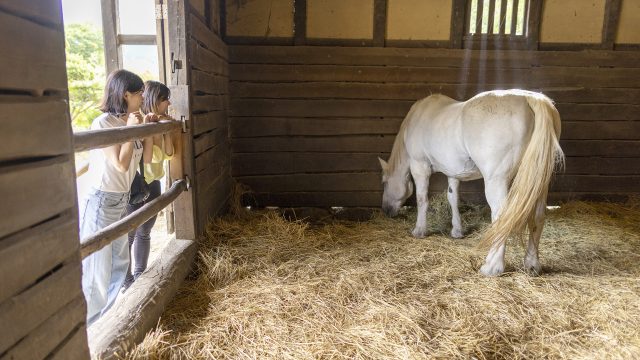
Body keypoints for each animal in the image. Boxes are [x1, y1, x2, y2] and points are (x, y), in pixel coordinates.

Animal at [378, 90, 564, 276]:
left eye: (384, 182)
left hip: (497, 181)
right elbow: (453, 199)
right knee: (538, 216)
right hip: (538, 183)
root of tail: (530, 98)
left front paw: (419, 230)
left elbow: (422, 199)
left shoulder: (419, 166)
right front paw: (457, 231)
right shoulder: (452, 172)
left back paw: (492, 267)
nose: (386, 210)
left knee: (503, 217)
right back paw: (532, 264)